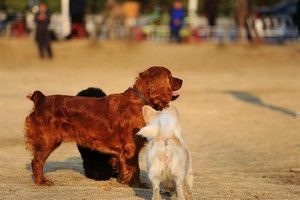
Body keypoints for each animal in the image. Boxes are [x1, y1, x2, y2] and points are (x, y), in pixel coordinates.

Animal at [24, 67, 182, 188]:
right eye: (170, 76)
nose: (182, 80)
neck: (139, 101)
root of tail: (41, 99)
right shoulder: (131, 147)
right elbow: (135, 168)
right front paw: (138, 185)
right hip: (48, 140)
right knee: (37, 161)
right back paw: (42, 182)